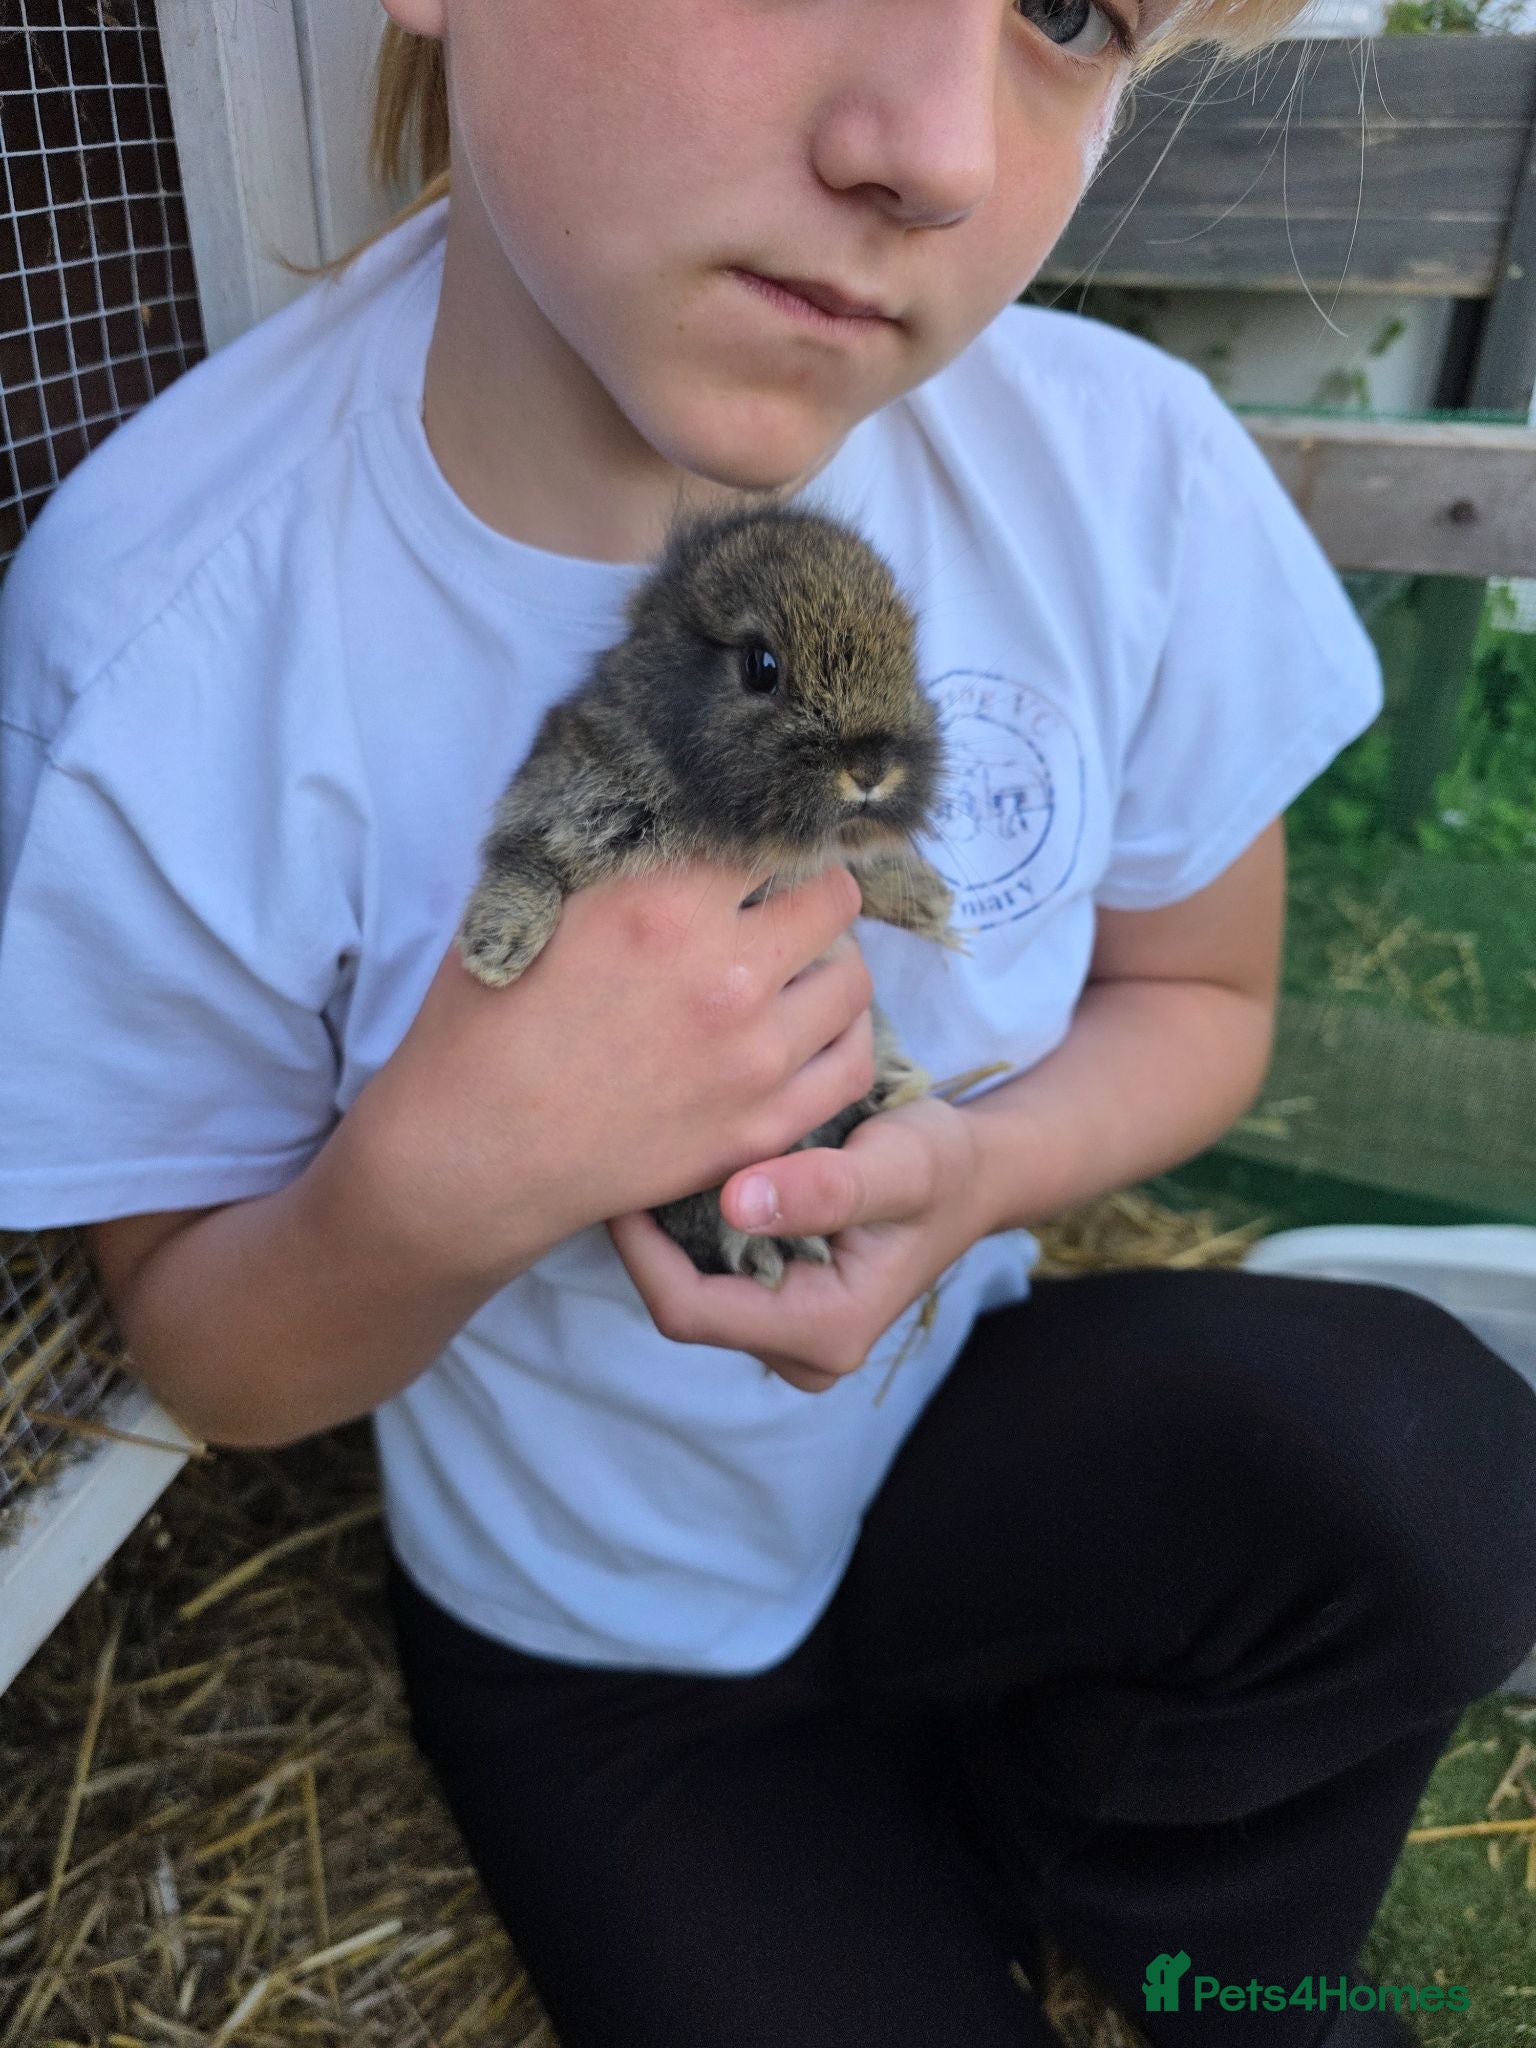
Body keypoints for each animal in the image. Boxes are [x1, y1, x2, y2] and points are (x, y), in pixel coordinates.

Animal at [455, 497, 967, 1290]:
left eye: (908, 653)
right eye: (761, 667)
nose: (870, 768)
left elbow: (856, 864)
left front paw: (935, 908)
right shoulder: (561, 798)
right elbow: (525, 860)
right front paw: (497, 952)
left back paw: (893, 1090)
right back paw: (765, 1247)